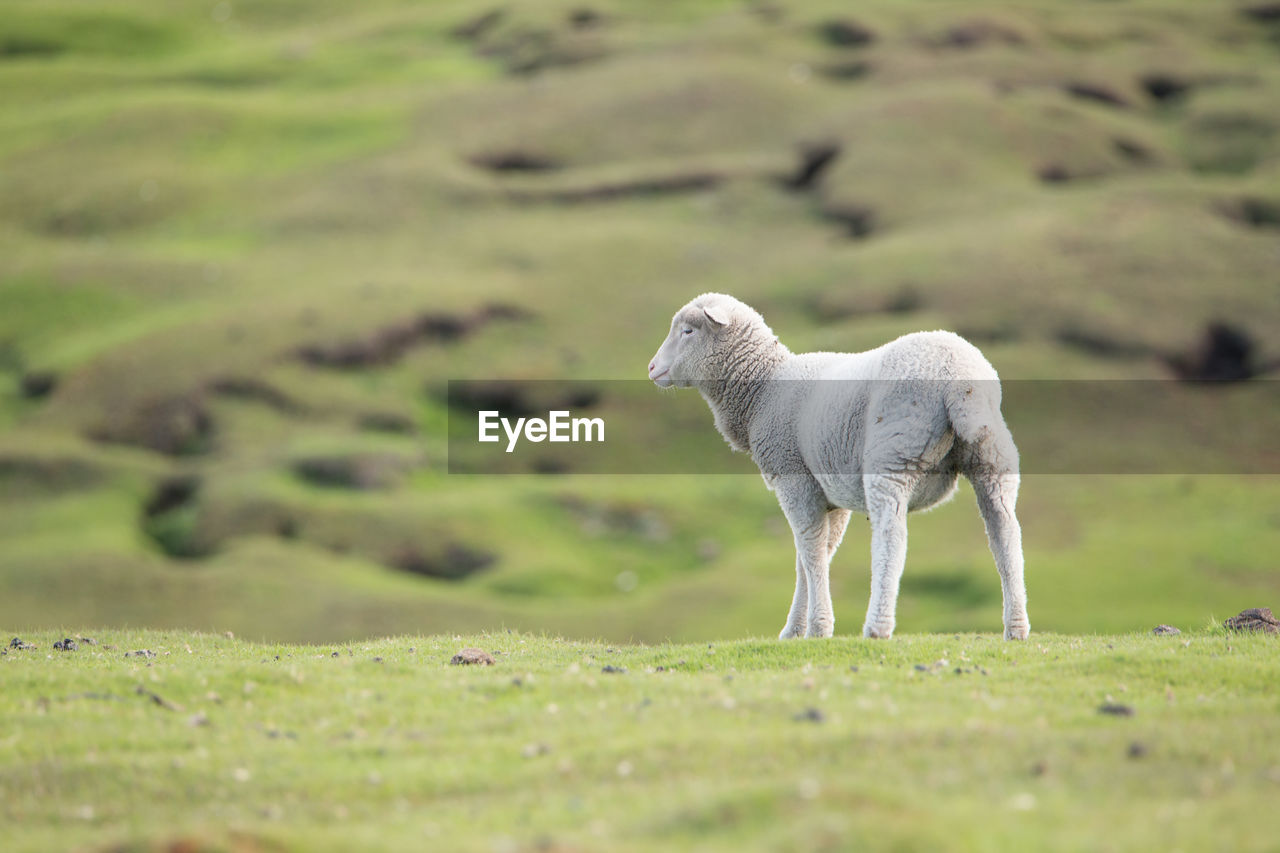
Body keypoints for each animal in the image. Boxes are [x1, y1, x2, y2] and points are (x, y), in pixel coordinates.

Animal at [650, 292, 1029, 637]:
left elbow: (811, 551)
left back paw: (877, 626)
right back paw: (1016, 627)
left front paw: (818, 627)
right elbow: (814, 555)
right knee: (1005, 533)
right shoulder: (832, 492)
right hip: (992, 455)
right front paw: (796, 630)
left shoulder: (794, 478)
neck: (762, 389)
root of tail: (959, 377)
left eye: (687, 331)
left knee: (891, 536)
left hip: (893, 452)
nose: (652, 368)